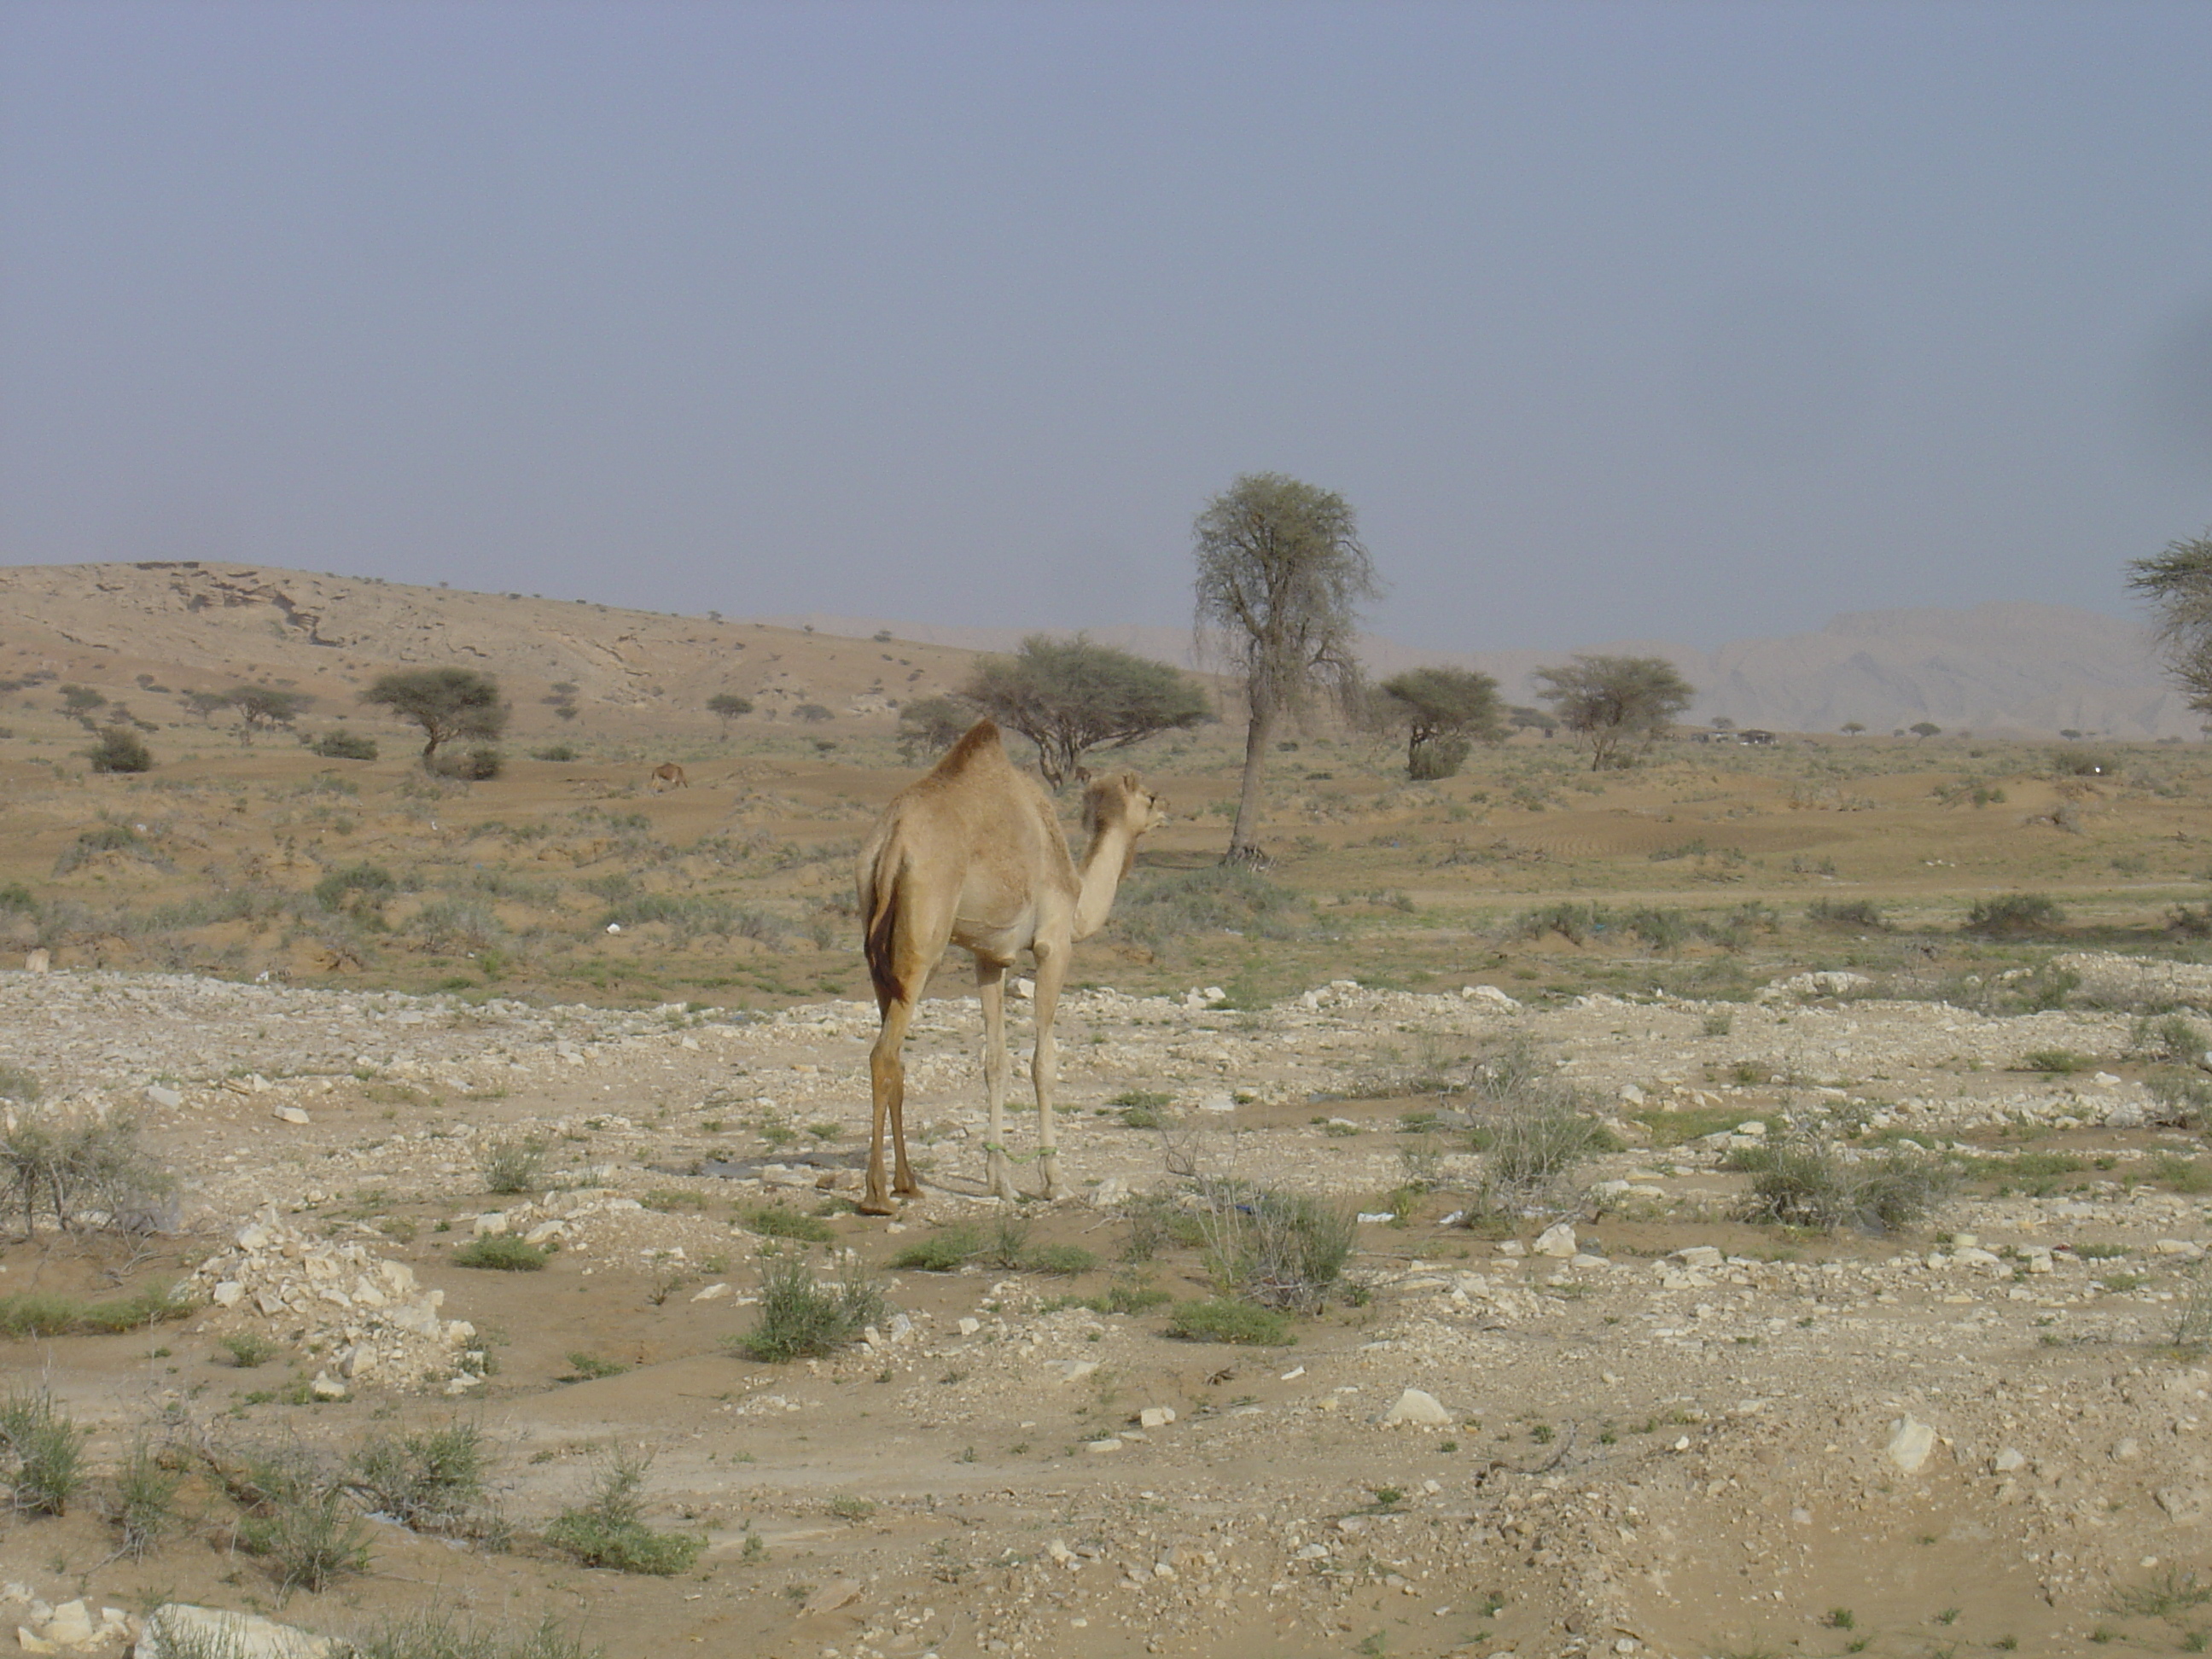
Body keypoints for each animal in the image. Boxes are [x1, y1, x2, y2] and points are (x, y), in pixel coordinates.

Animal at [849, 720, 1176, 1212]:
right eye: (1150, 798)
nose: (1168, 810)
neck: (1077, 892)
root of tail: (892, 843)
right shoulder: (1054, 944)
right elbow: (1044, 1063)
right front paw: (1053, 1180)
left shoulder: (989, 957)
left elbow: (996, 1062)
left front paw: (998, 1179)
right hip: (924, 941)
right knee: (884, 1054)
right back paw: (878, 1195)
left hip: (876, 948)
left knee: (895, 1054)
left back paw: (908, 1181)